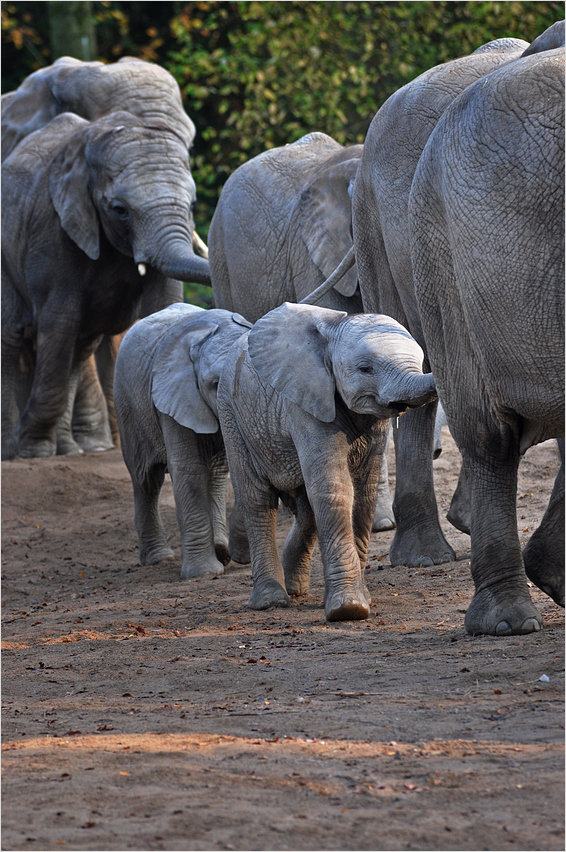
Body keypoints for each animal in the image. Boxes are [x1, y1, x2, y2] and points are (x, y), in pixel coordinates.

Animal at [2, 110, 211, 462]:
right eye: (119, 210)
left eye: (193, 204)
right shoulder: (51, 225)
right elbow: (59, 320)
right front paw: (32, 450)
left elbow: (164, 304)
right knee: (14, 339)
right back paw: (13, 451)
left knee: (78, 349)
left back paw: (67, 450)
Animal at [114, 302, 252, 580]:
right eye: (215, 384)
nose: (243, 557)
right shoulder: (174, 393)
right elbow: (188, 469)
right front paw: (202, 573)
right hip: (127, 405)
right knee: (146, 480)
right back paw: (158, 559)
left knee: (216, 473)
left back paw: (221, 551)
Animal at [217, 302, 440, 624]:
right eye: (365, 369)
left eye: (421, 361)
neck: (333, 332)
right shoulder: (305, 402)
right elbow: (335, 487)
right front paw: (348, 609)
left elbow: (363, 493)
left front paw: (361, 599)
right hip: (232, 414)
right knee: (257, 500)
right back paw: (271, 601)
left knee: (306, 508)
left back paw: (295, 588)